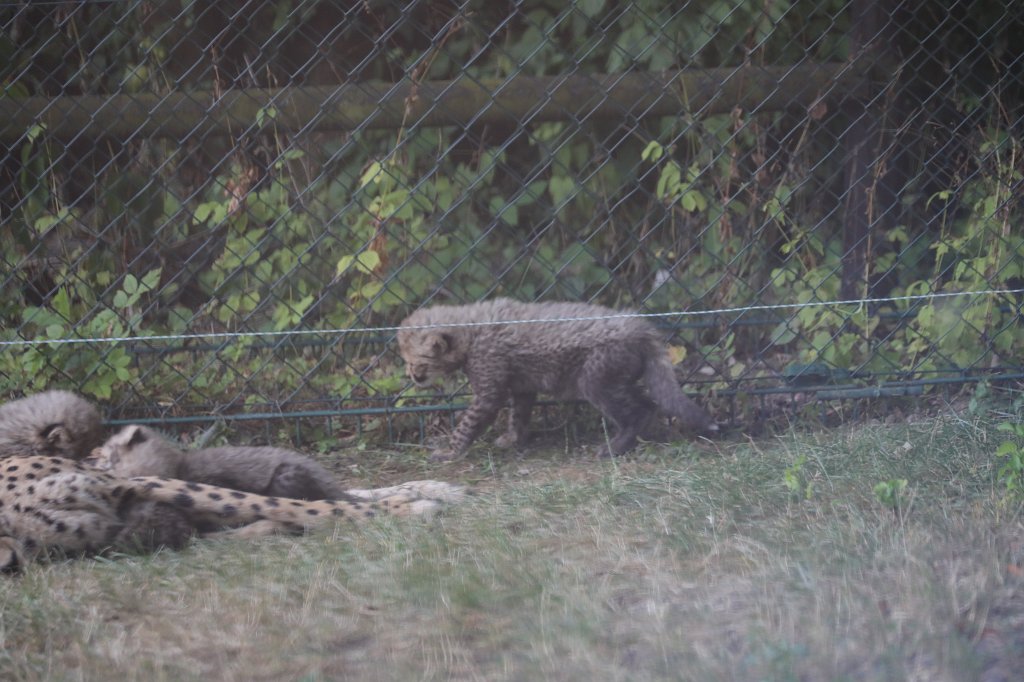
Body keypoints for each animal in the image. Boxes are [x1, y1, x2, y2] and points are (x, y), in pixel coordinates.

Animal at [397, 298, 718, 461]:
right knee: (648, 404)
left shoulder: (489, 392)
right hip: (618, 378)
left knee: (638, 411)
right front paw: (513, 439)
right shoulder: (522, 387)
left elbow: (467, 424)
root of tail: (640, 326)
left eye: (416, 362)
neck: (471, 328)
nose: (412, 375)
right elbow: (518, 415)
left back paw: (615, 447)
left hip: (597, 378)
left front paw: (450, 451)